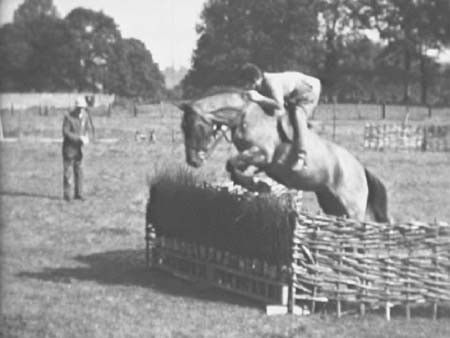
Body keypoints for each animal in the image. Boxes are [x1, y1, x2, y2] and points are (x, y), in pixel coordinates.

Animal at [178, 88, 388, 223]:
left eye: (196, 127)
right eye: (183, 128)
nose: (192, 160)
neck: (244, 114)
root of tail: (361, 169)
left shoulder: (263, 153)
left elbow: (232, 164)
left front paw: (260, 186)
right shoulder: (257, 160)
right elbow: (234, 168)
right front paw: (255, 184)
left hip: (352, 207)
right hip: (332, 203)